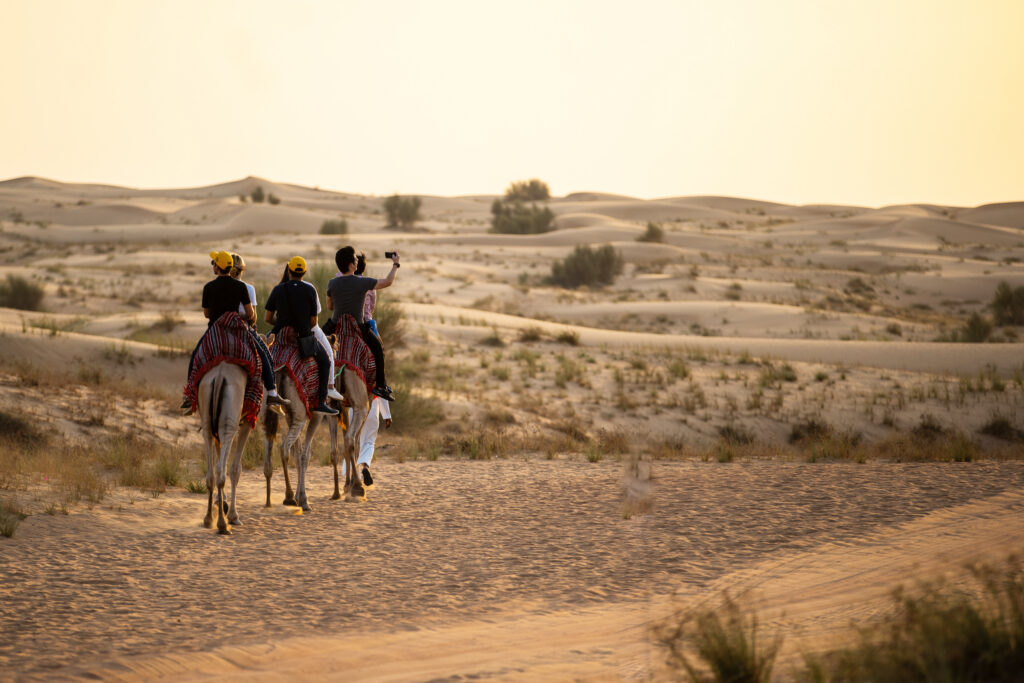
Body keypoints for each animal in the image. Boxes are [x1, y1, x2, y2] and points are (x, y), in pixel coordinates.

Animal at [197, 362, 253, 534]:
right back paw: (222, 524)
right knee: (222, 472)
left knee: (211, 474)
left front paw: (221, 502)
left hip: (208, 424)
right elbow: (235, 468)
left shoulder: (216, 432)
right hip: (229, 424)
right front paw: (234, 516)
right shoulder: (247, 422)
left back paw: (208, 519)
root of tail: (220, 375)